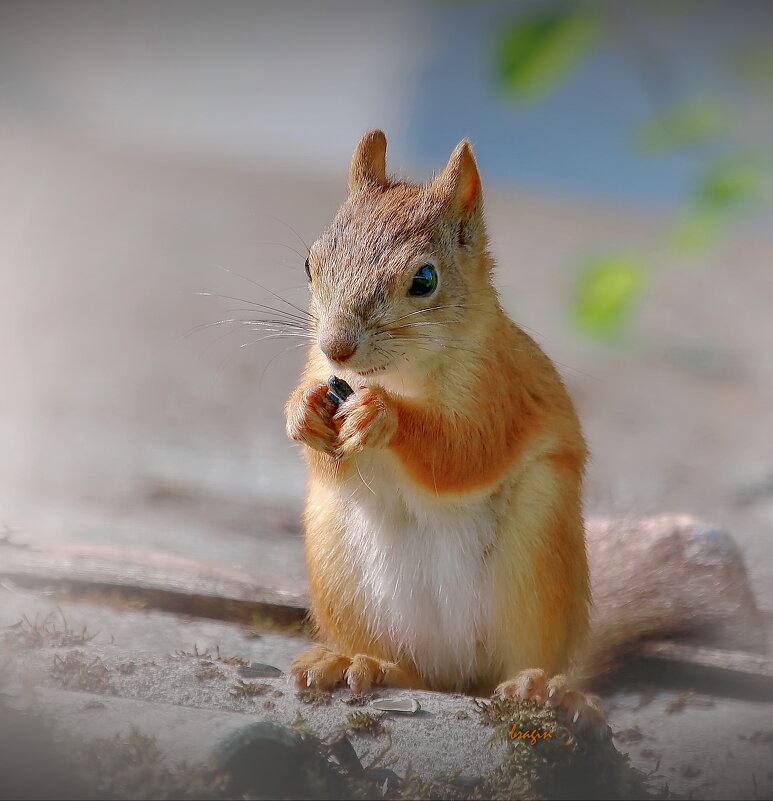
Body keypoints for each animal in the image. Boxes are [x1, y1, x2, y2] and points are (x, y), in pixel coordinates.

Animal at [286, 133, 600, 724]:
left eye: (425, 280)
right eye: (311, 264)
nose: (336, 348)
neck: (398, 376)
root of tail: (456, 674)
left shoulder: (498, 390)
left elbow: (463, 453)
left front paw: (382, 416)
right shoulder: (320, 369)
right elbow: (322, 449)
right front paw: (301, 410)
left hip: (540, 550)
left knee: (525, 656)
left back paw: (540, 686)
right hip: (336, 556)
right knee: (407, 670)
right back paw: (359, 663)